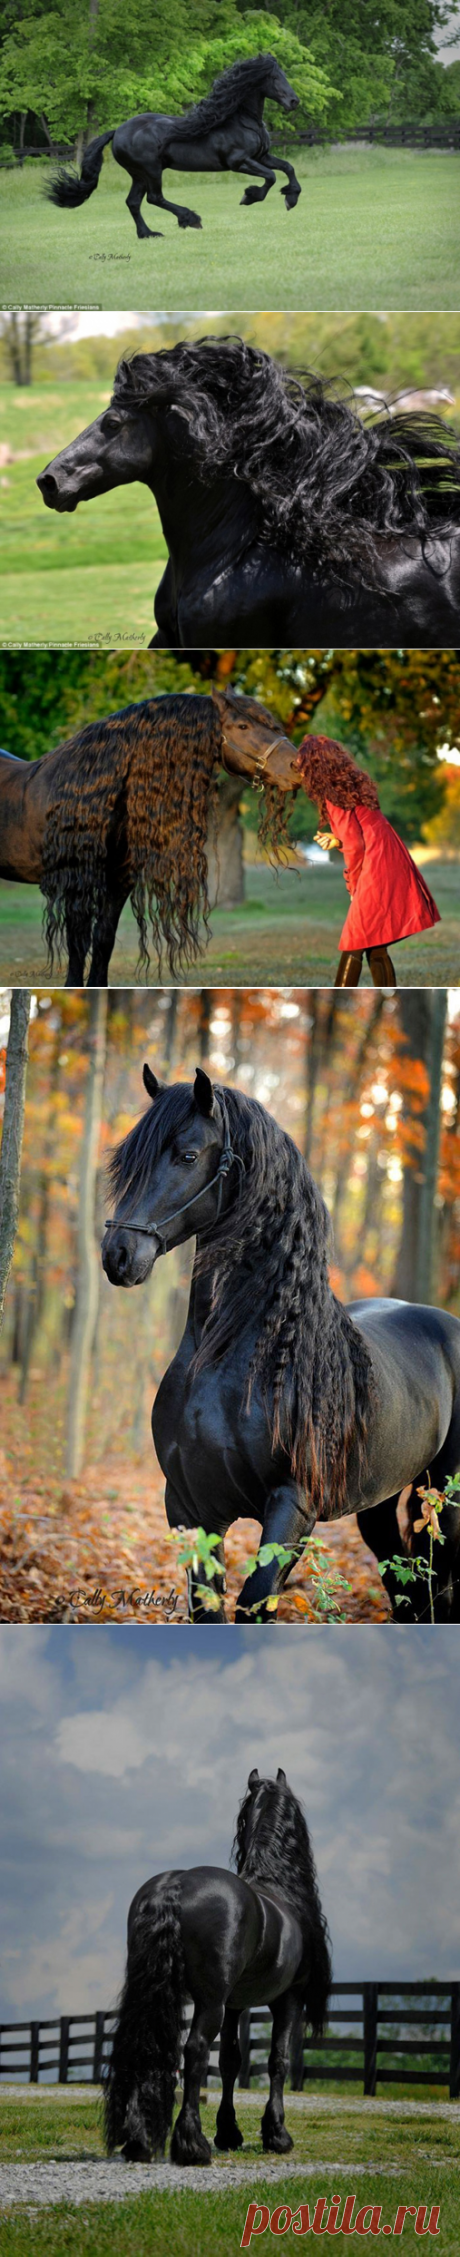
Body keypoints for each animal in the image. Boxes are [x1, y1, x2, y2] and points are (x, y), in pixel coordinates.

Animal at [0, 690, 298, 986]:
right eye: (242, 726)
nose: (297, 765)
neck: (94, 790)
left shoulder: (118, 881)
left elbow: (103, 940)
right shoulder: (77, 881)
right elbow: (78, 944)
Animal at [46, 55, 301, 242]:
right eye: (274, 77)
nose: (294, 102)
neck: (241, 121)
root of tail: (117, 131)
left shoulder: (262, 156)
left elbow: (288, 168)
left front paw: (291, 198)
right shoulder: (238, 162)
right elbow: (270, 177)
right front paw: (249, 196)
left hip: (138, 175)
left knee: (133, 202)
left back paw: (148, 234)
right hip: (151, 170)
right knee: (154, 198)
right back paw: (190, 218)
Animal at [101, 1067, 460, 1625]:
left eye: (187, 1155)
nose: (118, 1255)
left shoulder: (292, 1507)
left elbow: (255, 1602)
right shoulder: (188, 1507)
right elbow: (208, 1609)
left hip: (443, 1493)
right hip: (378, 1502)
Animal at [104, 1766, 331, 2166]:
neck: (277, 1887)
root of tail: (174, 1885)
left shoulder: (235, 2004)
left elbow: (230, 2061)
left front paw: (229, 2132)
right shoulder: (288, 2000)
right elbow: (278, 2060)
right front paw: (276, 2134)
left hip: (154, 1993)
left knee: (141, 2046)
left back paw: (139, 2141)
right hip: (210, 2003)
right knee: (194, 2050)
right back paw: (192, 2145)